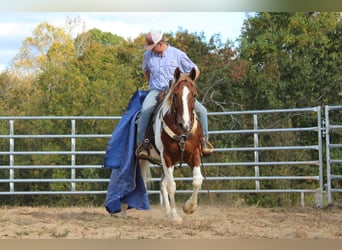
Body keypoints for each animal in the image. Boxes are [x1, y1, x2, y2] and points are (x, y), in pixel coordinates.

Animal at [139, 67, 206, 223]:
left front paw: (189, 207)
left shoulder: (194, 154)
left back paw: (168, 212)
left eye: (194, 95)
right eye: (175, 95)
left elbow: (197, 180)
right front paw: (176, 216)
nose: (185, 125)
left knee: (162, 184)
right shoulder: (167, 156)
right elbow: (172, 186)